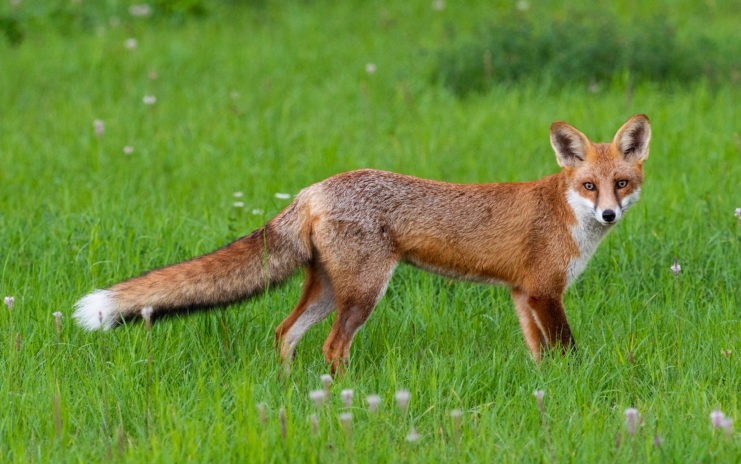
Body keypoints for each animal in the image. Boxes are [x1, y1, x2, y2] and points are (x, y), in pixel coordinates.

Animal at [75, 115, 652, 374]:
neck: (565, 214)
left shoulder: (521, 294)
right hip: (363, 293)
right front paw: (573, 387)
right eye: (589, 186)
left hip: (329, 290)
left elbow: (538, 354)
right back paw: (346, 401)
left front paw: (543, 390)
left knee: (284, 332)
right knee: (332, 346)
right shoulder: (544, 292)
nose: (608, 213)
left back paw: (291, 391)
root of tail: (313, 188)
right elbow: (567, 351)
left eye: (621, 184)